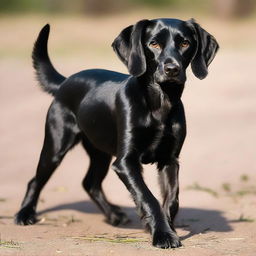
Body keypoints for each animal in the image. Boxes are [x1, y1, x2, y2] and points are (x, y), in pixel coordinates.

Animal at [15, 18, 218, 248]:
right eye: (154, 44)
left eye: (185, 43)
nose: (172, 69)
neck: (160, 103)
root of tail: (65, 82)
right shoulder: (125, 162)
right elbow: (148, 197)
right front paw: (162, 234)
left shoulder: (170, 159)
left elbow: (172, 199)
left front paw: (166, 229)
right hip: (56, 146)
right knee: (35, 181)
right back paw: (24, 214)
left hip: (100, 151)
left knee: (90, 183)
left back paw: (113, 215)